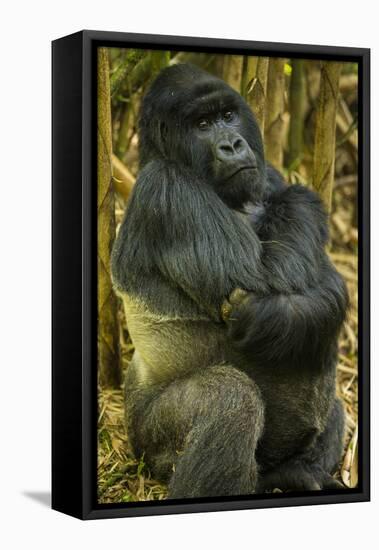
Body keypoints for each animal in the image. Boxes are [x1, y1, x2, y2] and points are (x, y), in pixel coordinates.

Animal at [111, 62, 348, 498]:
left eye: (227, 116)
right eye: (203, 125)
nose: (233, 145)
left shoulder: (264, 173)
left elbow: (319, 289)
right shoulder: (168, 189)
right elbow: (263, 279)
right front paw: (300, 199)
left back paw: (297, 474)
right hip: (148, 445)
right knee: (230, 400)